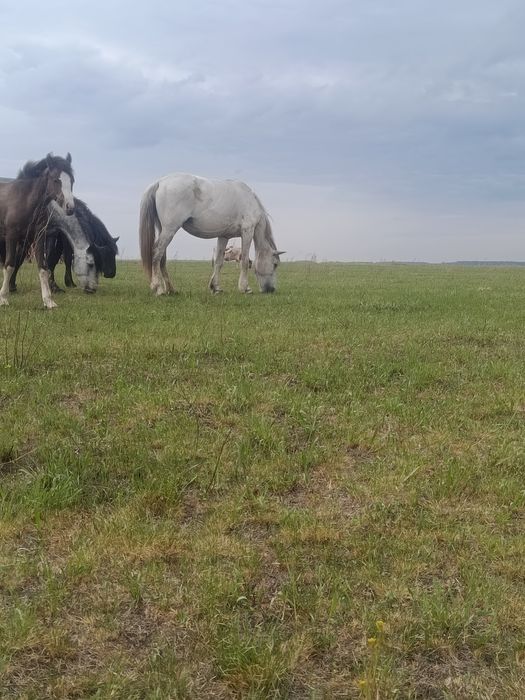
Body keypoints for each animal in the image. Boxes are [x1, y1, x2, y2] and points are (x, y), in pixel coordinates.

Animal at [0, 153, 78, 308]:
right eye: (56, 180)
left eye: (72, 180)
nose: (70, 208)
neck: (25, 200)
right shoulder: (11, 236)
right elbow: (9, 265)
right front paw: (4, 298)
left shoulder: (39, 237)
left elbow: (43, 267)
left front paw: (48, 301)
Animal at [139, 173, 284, 295]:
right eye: (275, 264)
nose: (271, 289)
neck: (250, 200)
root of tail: (160, 182)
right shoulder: (247, 231)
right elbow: (243, 261)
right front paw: (245, 288)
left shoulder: (224, 236)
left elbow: (219, 262)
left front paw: (216, 287)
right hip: (170, 229)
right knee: (157, 254)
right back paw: (158, 288)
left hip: (164, 230)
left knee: (162, 258)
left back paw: (170, 289)